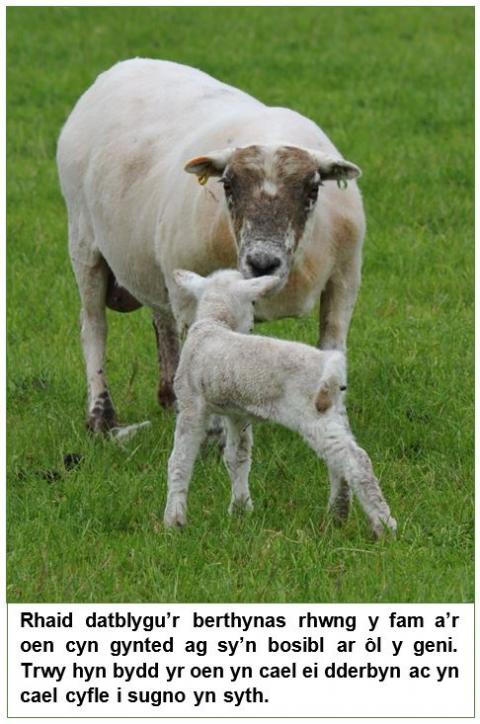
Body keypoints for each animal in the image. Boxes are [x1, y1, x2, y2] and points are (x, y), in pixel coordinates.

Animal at [56, 58, 365, 434]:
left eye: (313, 187)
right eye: (227, 185)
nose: (263, 262)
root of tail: (121, 67)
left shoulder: (344, 279)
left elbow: (333, 347)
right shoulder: (193, 296)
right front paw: (214, 435)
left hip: (153, 262)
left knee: (161, 319)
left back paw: (169, 396)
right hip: (84, 241)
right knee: (94, 326)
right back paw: (102, 417)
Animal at [164, 269, 396, 538]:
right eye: (252, 303)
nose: (251, 327)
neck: (215, 323)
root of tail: (331, 364)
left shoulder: (190, 403)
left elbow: (180, 461)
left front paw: (174, 520)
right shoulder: (237, 414)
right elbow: (237, 457)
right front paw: (241, 509)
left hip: (312, 414)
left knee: (356, 460)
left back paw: (383, 525)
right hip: (333, 410)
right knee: (339, 461)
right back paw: (338, 513)